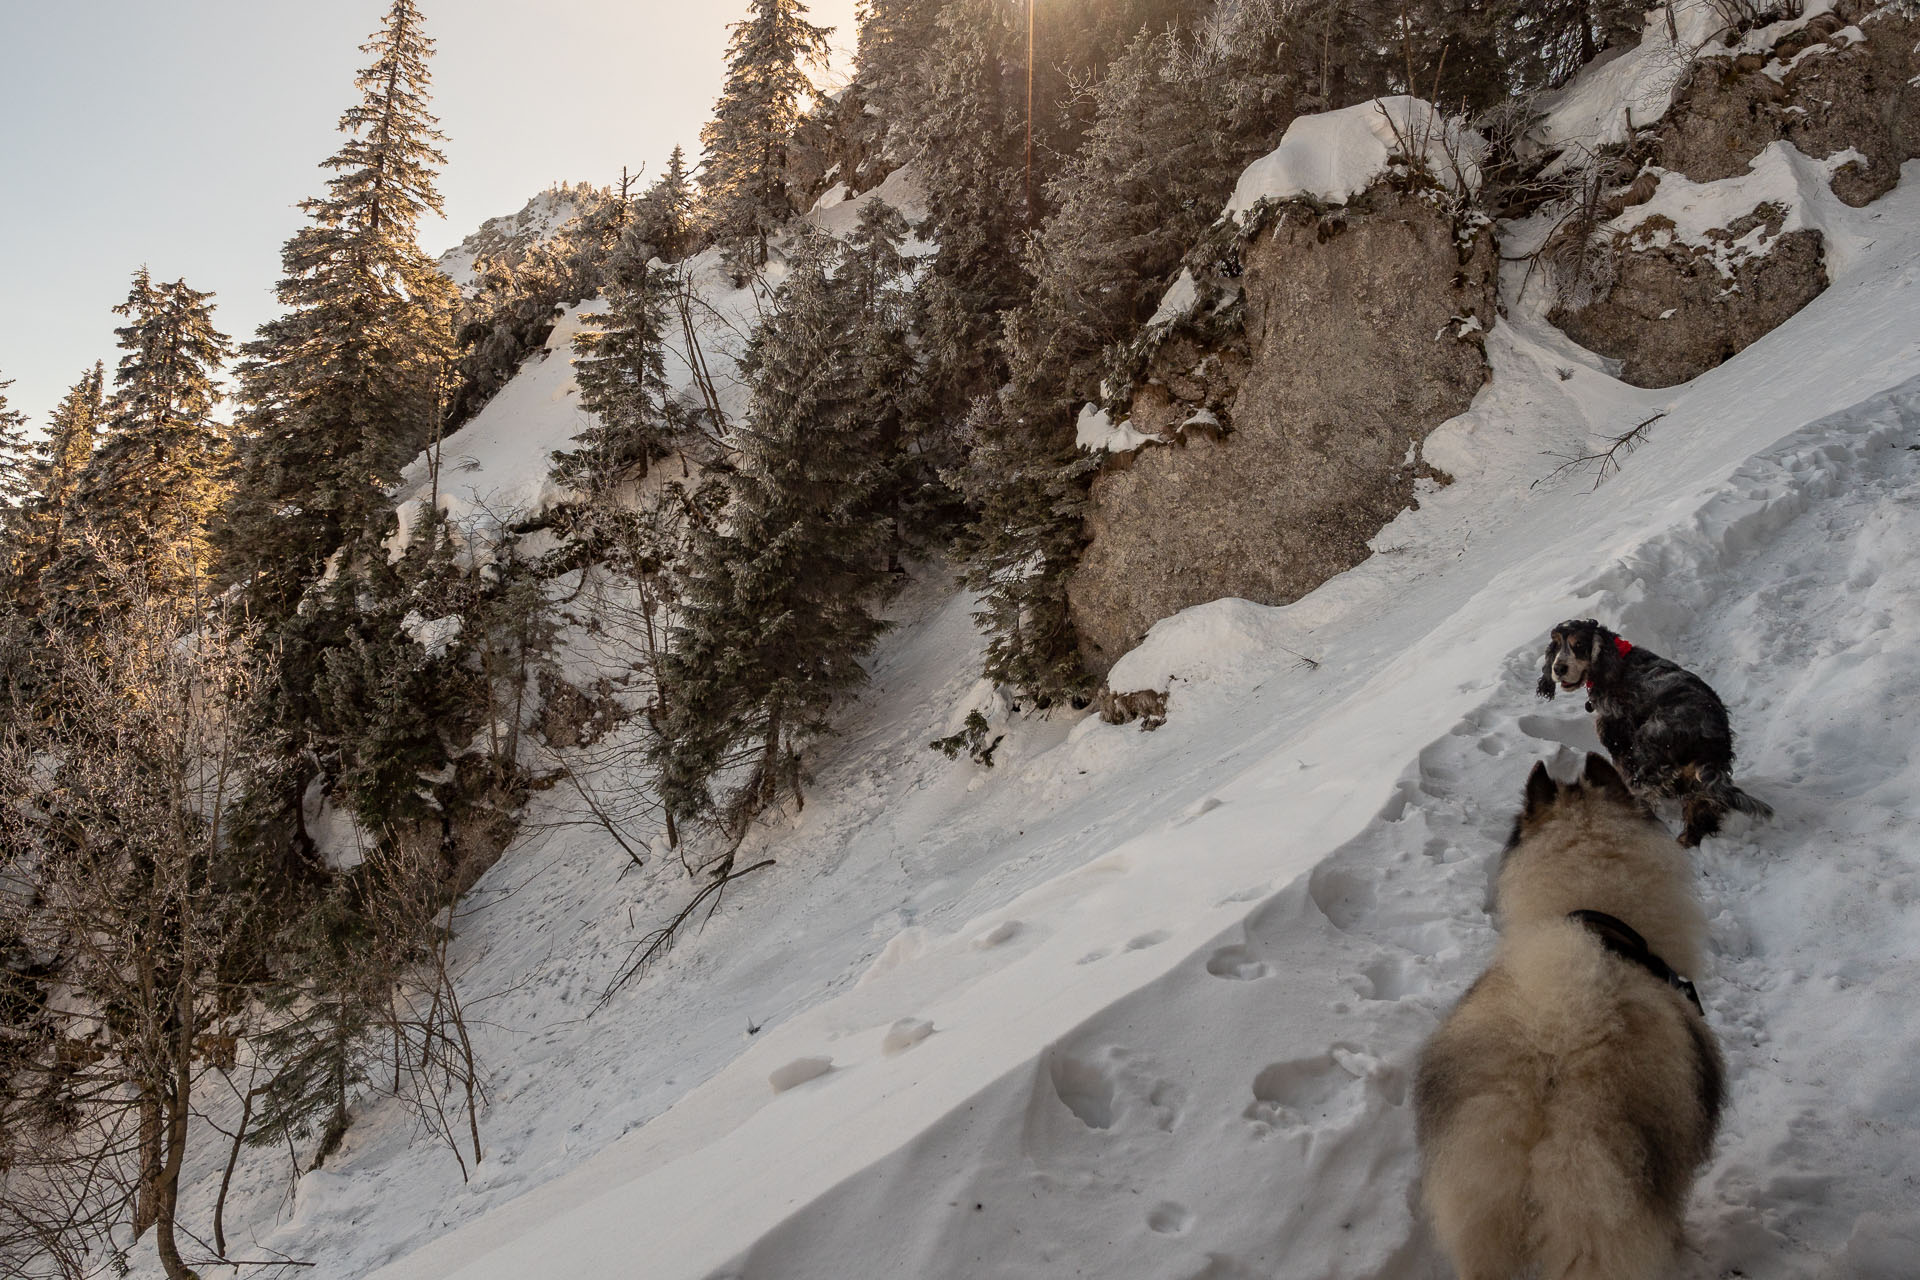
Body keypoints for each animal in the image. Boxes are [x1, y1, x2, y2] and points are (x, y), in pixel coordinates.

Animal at [1543, 621, 1766, 852]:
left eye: (1578, 644)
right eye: (1556, 644)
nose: (1558, 669)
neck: (1613, 661)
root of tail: (1710, 733)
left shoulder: (1618, 735)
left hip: (1648, 755)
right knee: (1704, 806)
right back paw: (1688, 838)